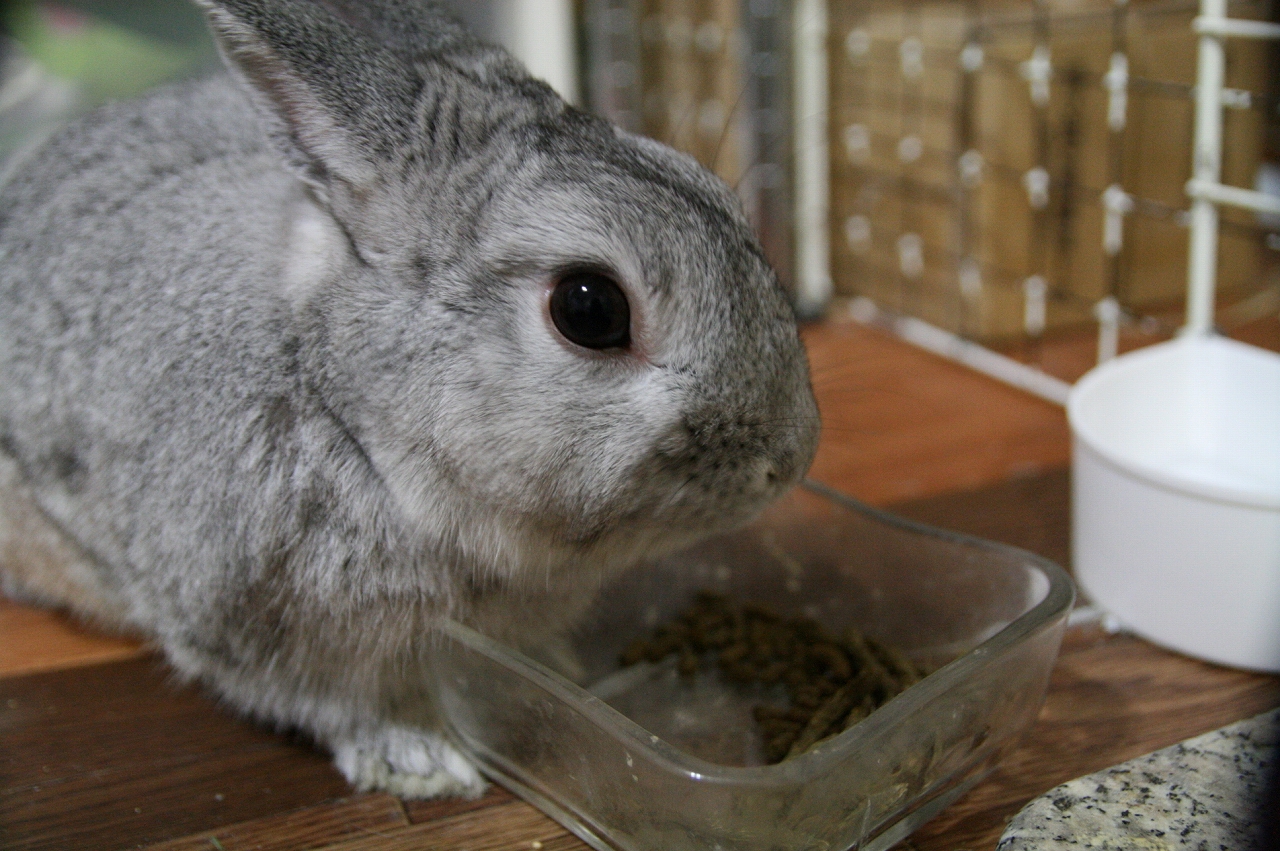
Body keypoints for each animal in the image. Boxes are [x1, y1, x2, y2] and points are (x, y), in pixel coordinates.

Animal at [0, 0, 820, 799]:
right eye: (590, 309)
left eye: (721, 201)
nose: (791, 457)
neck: (347, 409)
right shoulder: (245, 623)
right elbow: (334, 701)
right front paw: (423, 764)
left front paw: (556, 670)